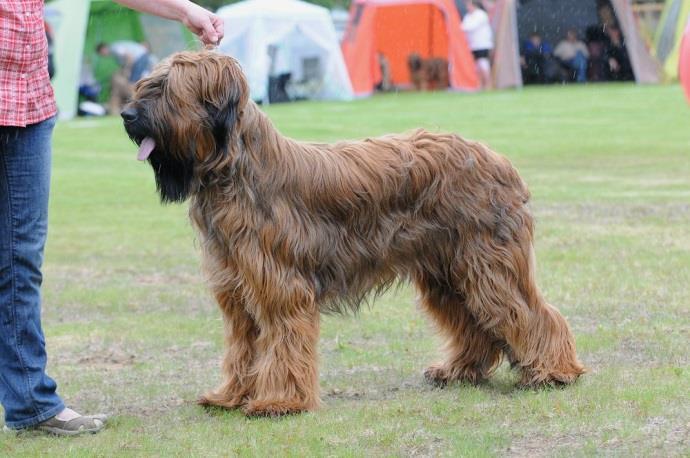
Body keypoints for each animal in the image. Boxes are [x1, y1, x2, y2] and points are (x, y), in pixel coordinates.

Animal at [122, 52, 580, 416]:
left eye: (165, 90)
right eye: (146, 85)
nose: (127, 115)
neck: (237, 169)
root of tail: (498, 160)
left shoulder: (281, 288)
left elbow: (283, 343)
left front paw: (279, 402)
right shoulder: (236, 292)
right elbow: (242, 348)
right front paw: (230, 396)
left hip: (487, 266)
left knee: (529, 313)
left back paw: (553, 371)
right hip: (448, 272)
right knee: (473, 324)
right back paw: (458, 370)